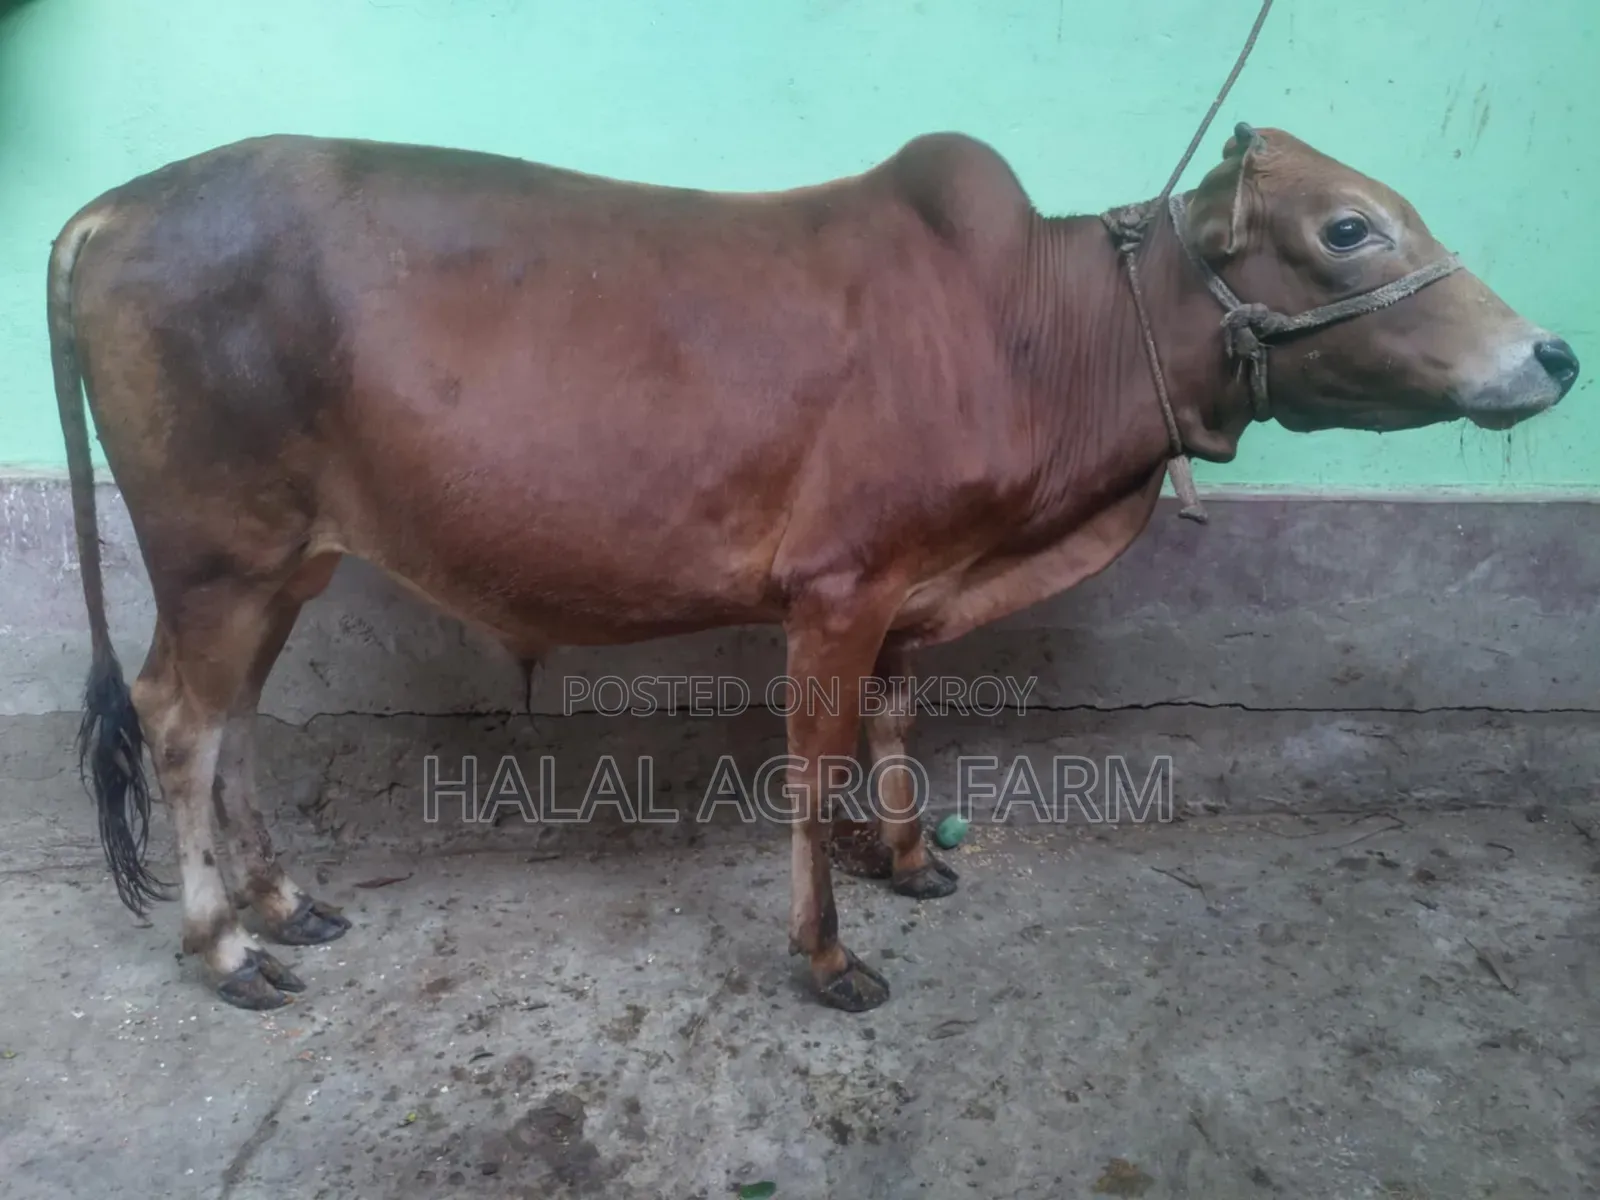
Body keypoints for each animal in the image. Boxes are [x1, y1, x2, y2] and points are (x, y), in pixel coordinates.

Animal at [47, 122, 1578, 1013]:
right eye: (1347, 229)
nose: (1555, 353)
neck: (1032, 332)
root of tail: (105, 211)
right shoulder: (839, 587)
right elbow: (812, 758)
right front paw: (832, 953)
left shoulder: (912, 586)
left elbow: (889, 729)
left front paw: (901, 858)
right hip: (219, 552)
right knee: (181, 722)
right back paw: (226, 948)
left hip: (283, 563)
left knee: (236, 722)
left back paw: (284, 903)